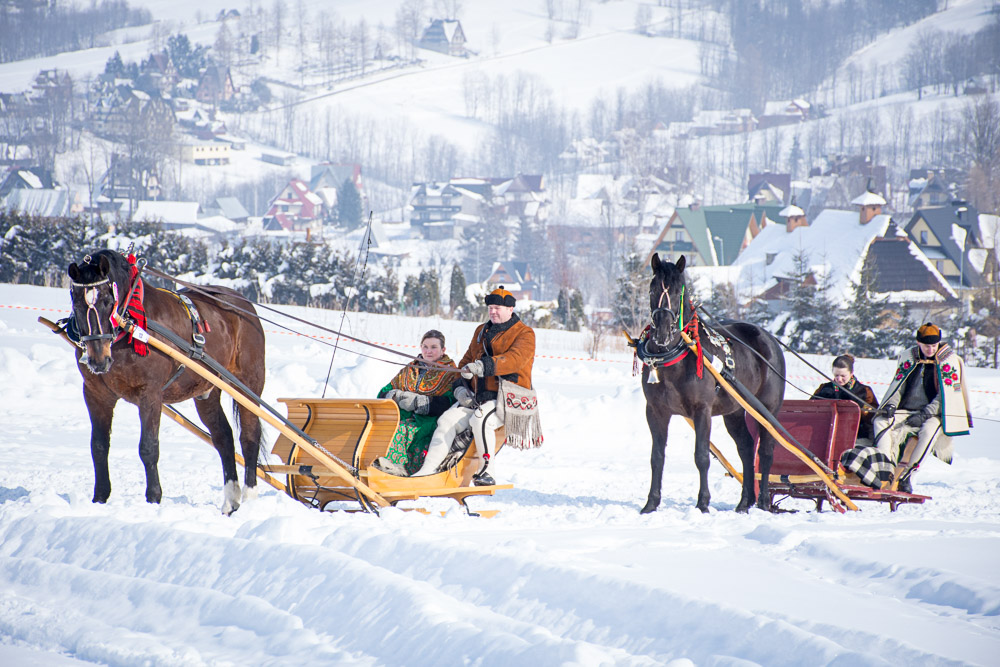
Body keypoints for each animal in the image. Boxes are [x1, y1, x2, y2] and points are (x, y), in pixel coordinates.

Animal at [66, 249, 266, 514]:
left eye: (108, 301)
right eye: (77, 303)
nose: (98, 360)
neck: (130, 325)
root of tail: (244, 305)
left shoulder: (150, 394)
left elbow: (148, 447)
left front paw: (153, 498)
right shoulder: (96, 394)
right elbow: (98, 446)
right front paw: (100, 498)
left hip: (248, 385)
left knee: (250, 435)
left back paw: (251, 497)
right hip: (207, 391)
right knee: (224, 437)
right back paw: (230, 501)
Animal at [638, 253, 786, 514]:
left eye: (678, 291)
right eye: (652, 288)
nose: (663, 333)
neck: (677, 356)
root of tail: (770, 340)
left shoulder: (702, 410)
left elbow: (701, 456)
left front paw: (703, 503)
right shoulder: (656, 411)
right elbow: (657, 457)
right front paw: (651, 503)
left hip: (766, 410)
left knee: (766, 452)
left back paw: (763, 502)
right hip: (734, 412)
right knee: (746, 449)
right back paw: (744, 502)